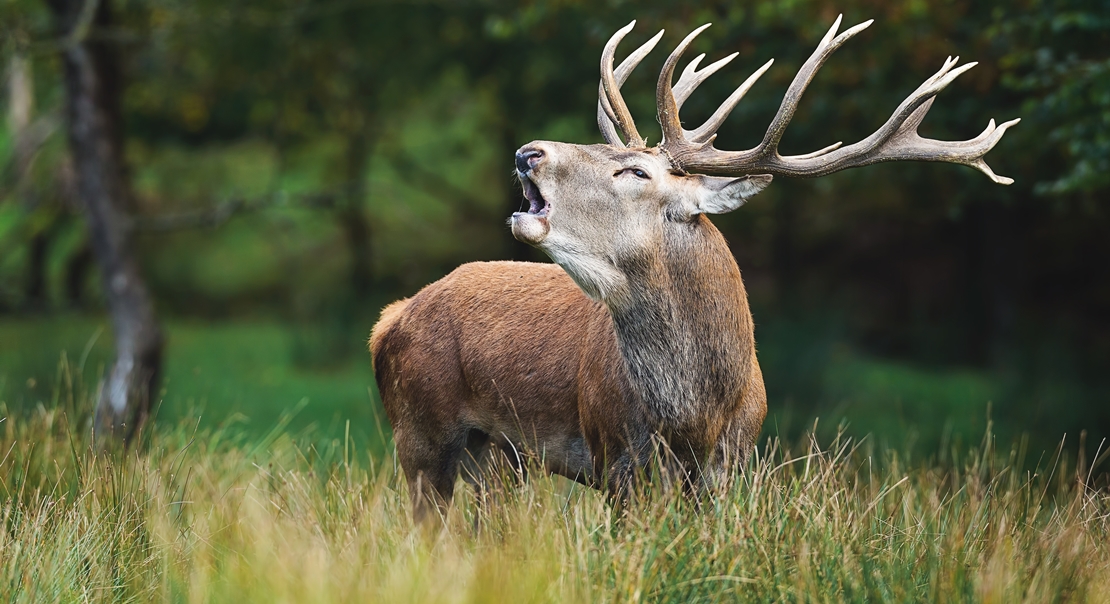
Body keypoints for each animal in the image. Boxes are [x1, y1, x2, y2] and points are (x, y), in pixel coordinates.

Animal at [368, 16, 1016, 521]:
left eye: (634, 170)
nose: (530, 152)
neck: (694, 413)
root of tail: (391, 317)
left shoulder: (731, 463)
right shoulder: (615, 455)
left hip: (496, 457)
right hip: (420, 430)